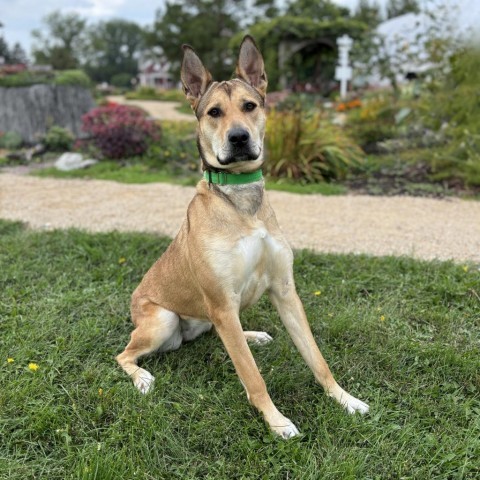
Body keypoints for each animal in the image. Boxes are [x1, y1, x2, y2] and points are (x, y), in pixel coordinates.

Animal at [117, 34, 372, 438]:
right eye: (214, 112)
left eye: (249, 106)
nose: (239, 137)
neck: (241, 200)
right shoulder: (222, 302)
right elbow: (252, 376)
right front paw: (277, 421)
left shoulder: (285, 290)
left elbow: (317, 358)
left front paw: (344, 399)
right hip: (163, 321)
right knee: (123, 353)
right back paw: (141, 376)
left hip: (208, 317)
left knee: (217, 334)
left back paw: (252, 335)